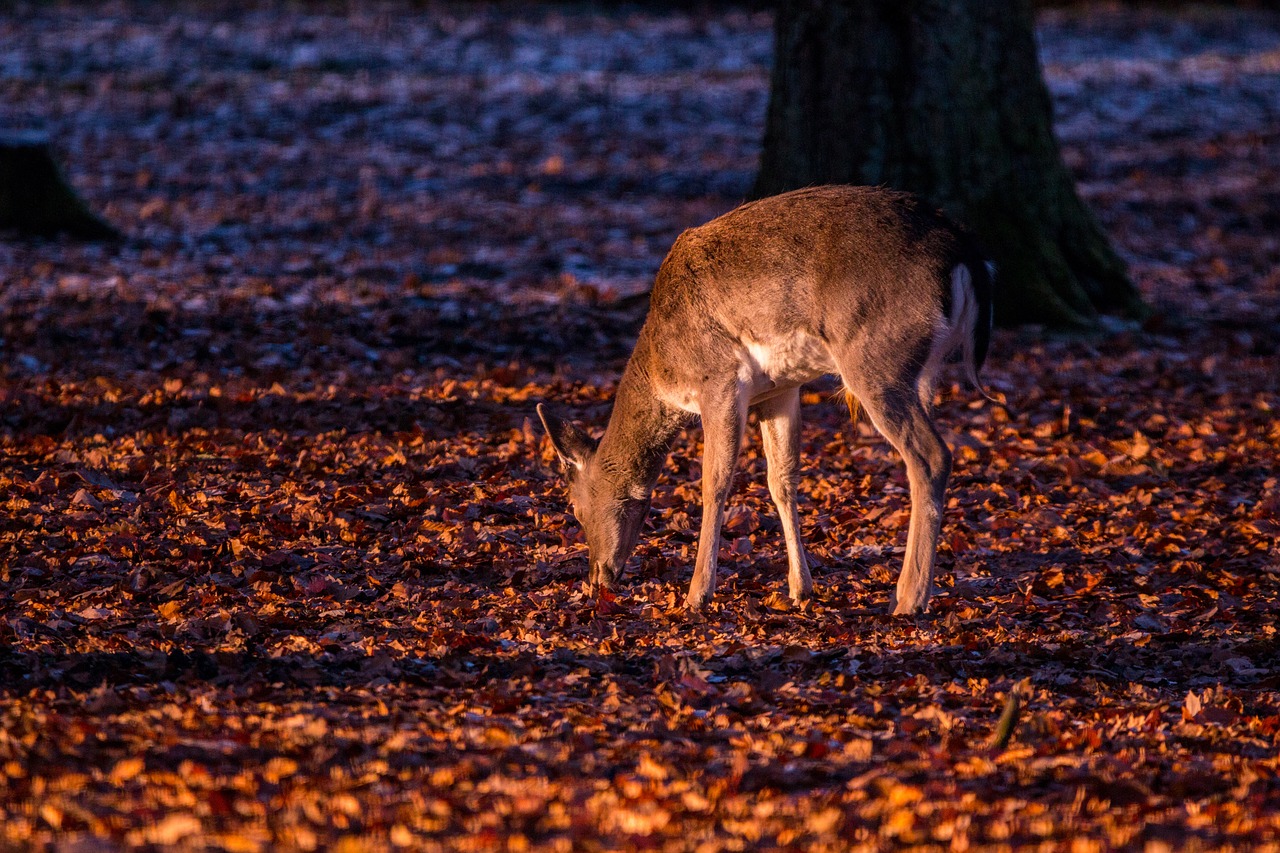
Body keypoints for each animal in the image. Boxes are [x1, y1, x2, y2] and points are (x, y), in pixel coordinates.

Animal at [535, 184, 993, 612]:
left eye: (575, 508)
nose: (598, 578)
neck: (663, 369)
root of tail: (966, 255)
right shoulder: (781, 389)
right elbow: (782, 480)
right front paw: (800, 588)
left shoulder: (718, 379)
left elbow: (714, 481)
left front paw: (697, 594)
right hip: (925, 370)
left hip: (876, 356)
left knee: (931, 455)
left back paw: (909, 598)